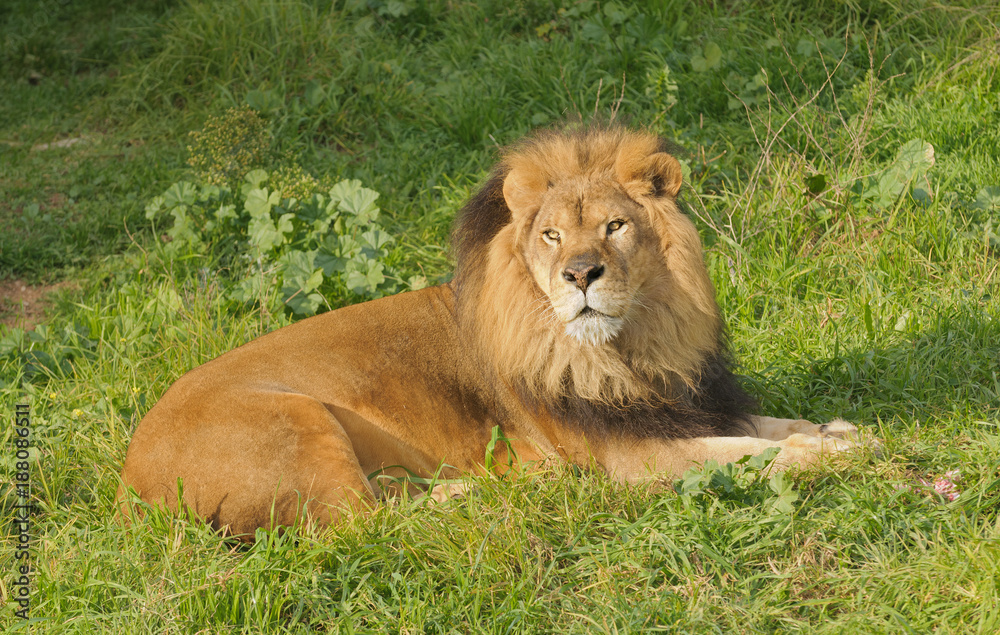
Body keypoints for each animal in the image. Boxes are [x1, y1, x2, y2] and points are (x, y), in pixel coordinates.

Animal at [118, 125, 863, 538]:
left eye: (616, 225)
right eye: (552, 235)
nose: (581, 274)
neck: (634, 344)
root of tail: (129, 481)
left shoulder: (682, 403)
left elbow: (769, 426)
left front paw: (838, 431)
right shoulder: (630, 457)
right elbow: (747, 453)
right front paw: (832, 456)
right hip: (297, 419)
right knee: (361, 526)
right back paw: (483, 493)